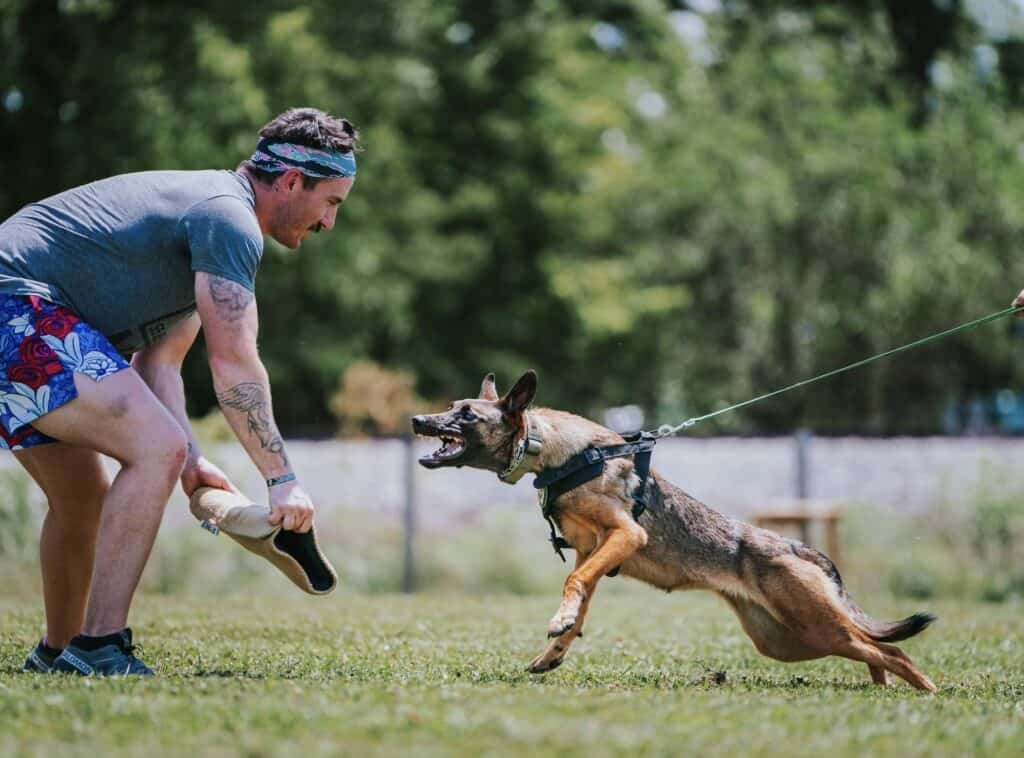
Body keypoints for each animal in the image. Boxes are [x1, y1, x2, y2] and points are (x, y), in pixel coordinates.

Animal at [411, 370, 937, 688]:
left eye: (466, 414)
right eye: (451, 405)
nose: (416, 419)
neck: (555, 451)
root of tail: (795, 546)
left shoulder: (624, 537)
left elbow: (573, 583)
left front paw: (558, 623)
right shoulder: (592, 551)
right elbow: (580, 602)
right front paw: (555, 648)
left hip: (814, 625)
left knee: (890, 651)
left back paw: (927, 691)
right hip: (787, 640)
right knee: (873, 650)